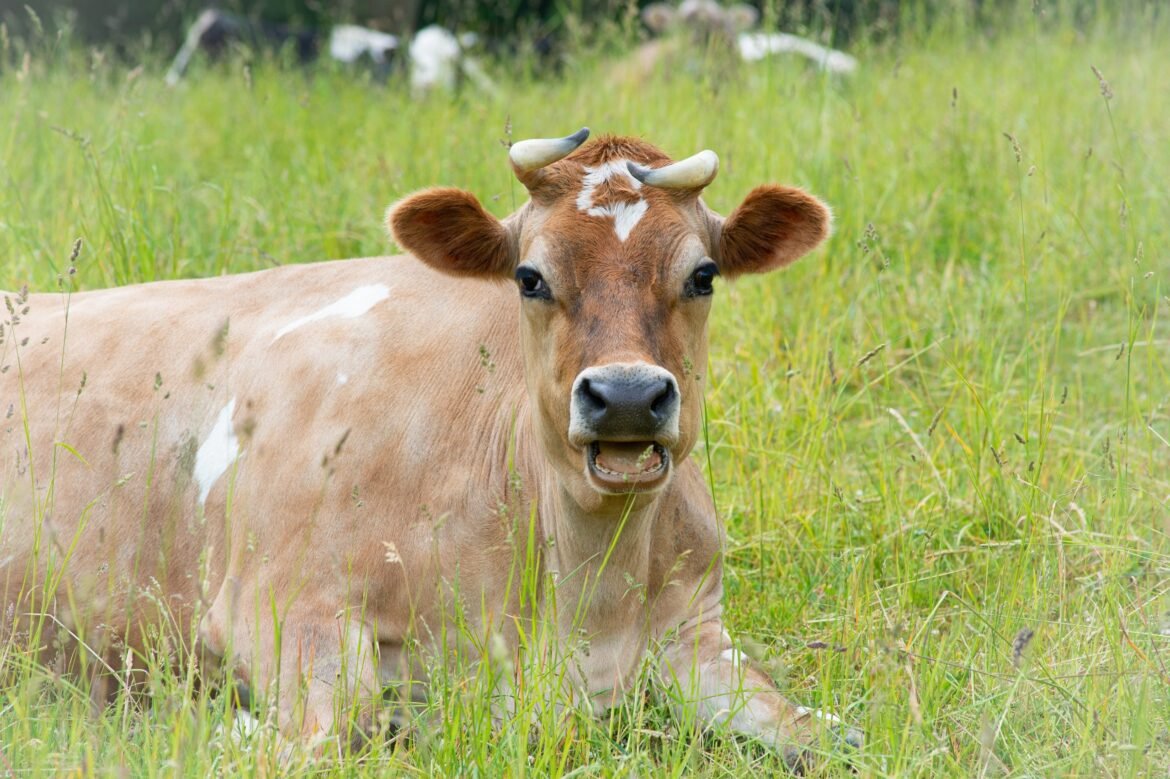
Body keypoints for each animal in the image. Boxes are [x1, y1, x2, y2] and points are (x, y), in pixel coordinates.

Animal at [0, 129, 858, 769]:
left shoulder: (697, 631)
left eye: (704, 273)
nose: (623, 396)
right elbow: (328, 730)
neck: (587, 590)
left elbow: (832, 736)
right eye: (529, 276)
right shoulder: (273, 602)